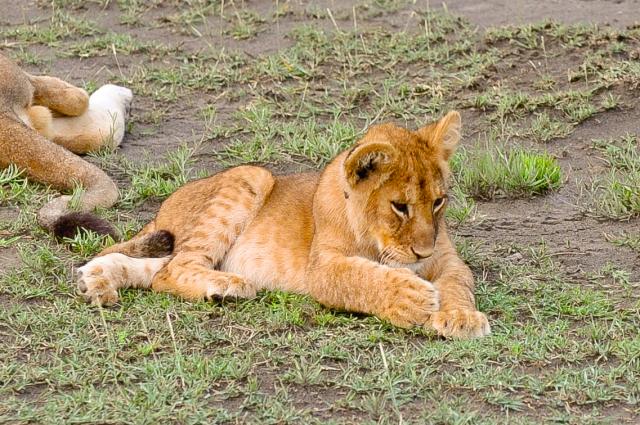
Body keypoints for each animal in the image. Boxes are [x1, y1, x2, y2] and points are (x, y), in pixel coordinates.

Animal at [76, 111, 490, 339]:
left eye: (438, 201)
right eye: (399, 207)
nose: (422, 251)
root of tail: (163, 209)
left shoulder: (447, 259)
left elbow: (458, 283)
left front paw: (461, 317)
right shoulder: (323, 267)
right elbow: (362, 277)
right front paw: (410, 297)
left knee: (152, 269)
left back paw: (96, 281)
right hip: (252, 176)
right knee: (171, 271)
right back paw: (230, 286)